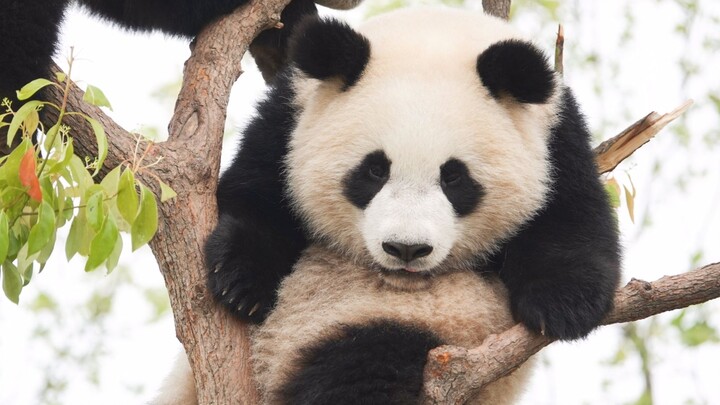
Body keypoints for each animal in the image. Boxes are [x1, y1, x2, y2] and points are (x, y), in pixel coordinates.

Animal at [159, 4, 624, 402]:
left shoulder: (556, 139)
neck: (434, 34)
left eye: (454, 177)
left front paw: (560, 304)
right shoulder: (289, 118)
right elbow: (255, 196)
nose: (406, 249)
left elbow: (572, 219)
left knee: (361, 366)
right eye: (374, 171)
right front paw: (241, 283)